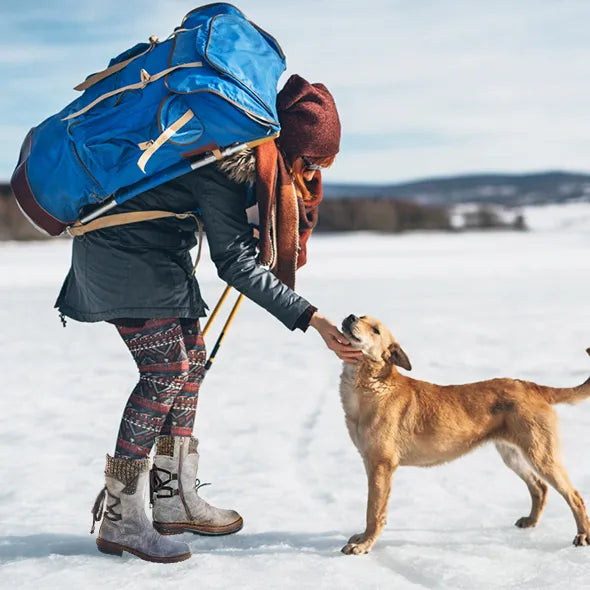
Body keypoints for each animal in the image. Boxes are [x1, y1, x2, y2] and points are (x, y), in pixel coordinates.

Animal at [340, 316, 590, 556]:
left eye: (375, 330)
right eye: (361, 315)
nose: (350, 317)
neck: (371, 387)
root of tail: (531, 386)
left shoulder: (381, 465)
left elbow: (374, 512)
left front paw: (364, 545)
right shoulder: (370, 462)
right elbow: (372, 508)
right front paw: (362, 539)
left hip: (541, 455)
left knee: (574, 496)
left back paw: (582, 535)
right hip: (512, 455)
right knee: (539, 487)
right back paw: (531, 521)